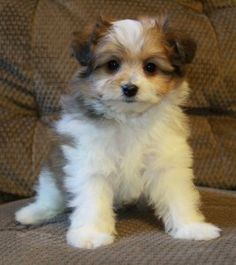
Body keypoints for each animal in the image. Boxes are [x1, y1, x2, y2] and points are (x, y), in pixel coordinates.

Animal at [15, 16, 220, 248]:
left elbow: (177, 196)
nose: (129, 88)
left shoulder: (166, 161)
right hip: (52, 169)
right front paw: (91, 234)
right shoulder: (90, 160)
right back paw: (32, 213)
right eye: (112, 65)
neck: (128, 118)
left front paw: (190, 227)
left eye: (150, 67)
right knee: (49, 196)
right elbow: (92, 200)